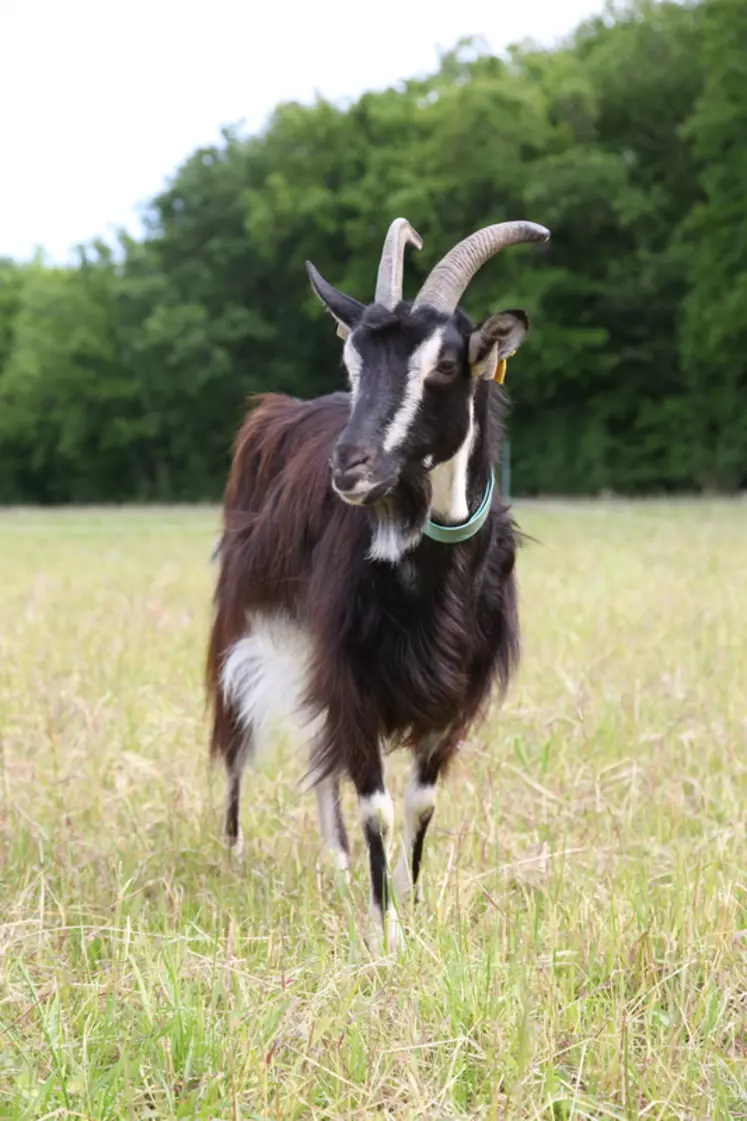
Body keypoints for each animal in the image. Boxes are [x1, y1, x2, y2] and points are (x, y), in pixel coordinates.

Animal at [204, 216, 547, 946]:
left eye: (443, 365)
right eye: (353, 363)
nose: (350, 467)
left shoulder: (455, 689)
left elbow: (421, 801)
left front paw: (416, 908)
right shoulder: (353, 669)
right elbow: (377, 806)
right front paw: (384, 930)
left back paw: (334, 861)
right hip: (246, 612)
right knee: (235, 723)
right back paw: (236, 849)